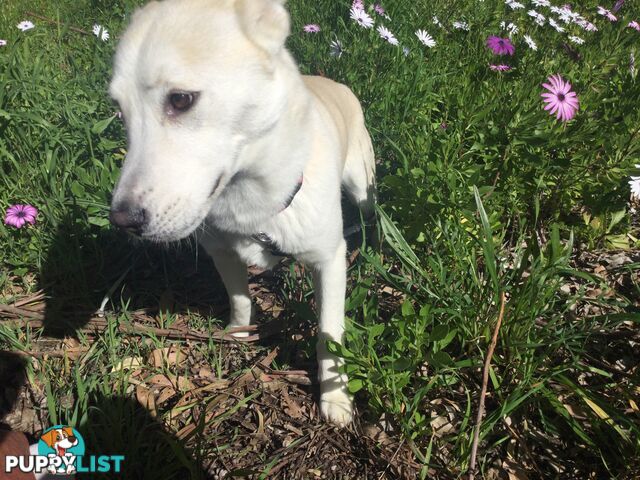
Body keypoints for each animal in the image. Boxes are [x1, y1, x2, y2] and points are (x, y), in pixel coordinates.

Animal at [109, 0, 376, 426]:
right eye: (119, 111)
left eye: (181, 99)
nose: (123, 221)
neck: (251, 202)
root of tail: (333, 83)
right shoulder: (222, 253)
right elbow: (239, 297)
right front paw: (238, 332)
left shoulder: (329, 261)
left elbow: (328, 334)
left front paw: (335, 398)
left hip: (361, 183)